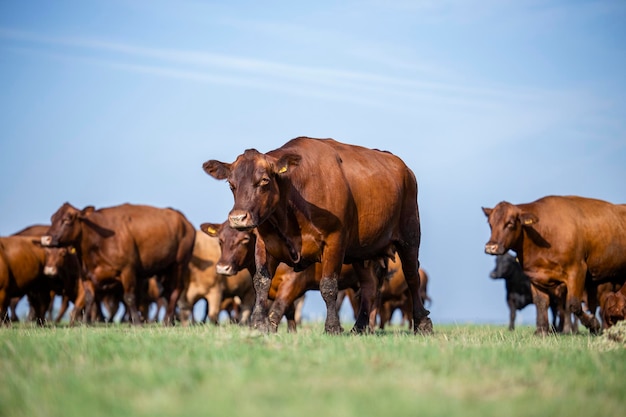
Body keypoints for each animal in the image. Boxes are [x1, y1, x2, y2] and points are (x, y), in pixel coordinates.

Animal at [40, 202, 195, 324]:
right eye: (53, 218)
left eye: (67, 219)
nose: (45, 238)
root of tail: (184, 221)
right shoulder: (86, 275)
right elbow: (89, 299)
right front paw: (84, 323)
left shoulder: (127, 270)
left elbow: (130, 298)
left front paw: (137, 323)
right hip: (164, 269)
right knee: (167, 292)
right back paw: (171, 320)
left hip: (180, 264)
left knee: (176, 290)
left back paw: (167, 321)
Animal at [482, 195, 624, 334]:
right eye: (490, 224)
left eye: (510, 223)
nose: (490, 247)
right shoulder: (535, 276)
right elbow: (541, 303)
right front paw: (542, 331)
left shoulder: (577, 270)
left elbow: (573, 304)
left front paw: (593, 324)